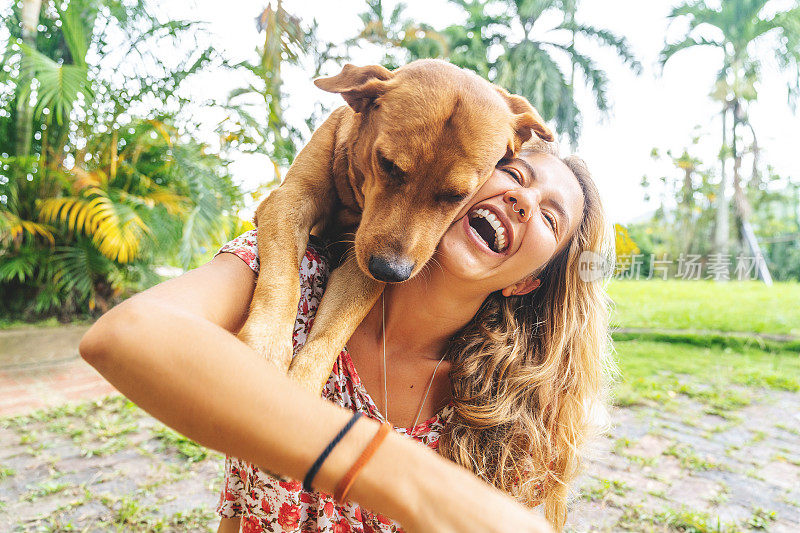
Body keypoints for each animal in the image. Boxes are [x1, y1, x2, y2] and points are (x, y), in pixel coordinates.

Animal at [234, 60, 552, 392]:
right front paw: (265, 350)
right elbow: (283, 280)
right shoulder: (290, 200)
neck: (355, 201)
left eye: (457, 195)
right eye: (387, 164)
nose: (390, 271)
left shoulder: (362, 271)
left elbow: (331, 333)